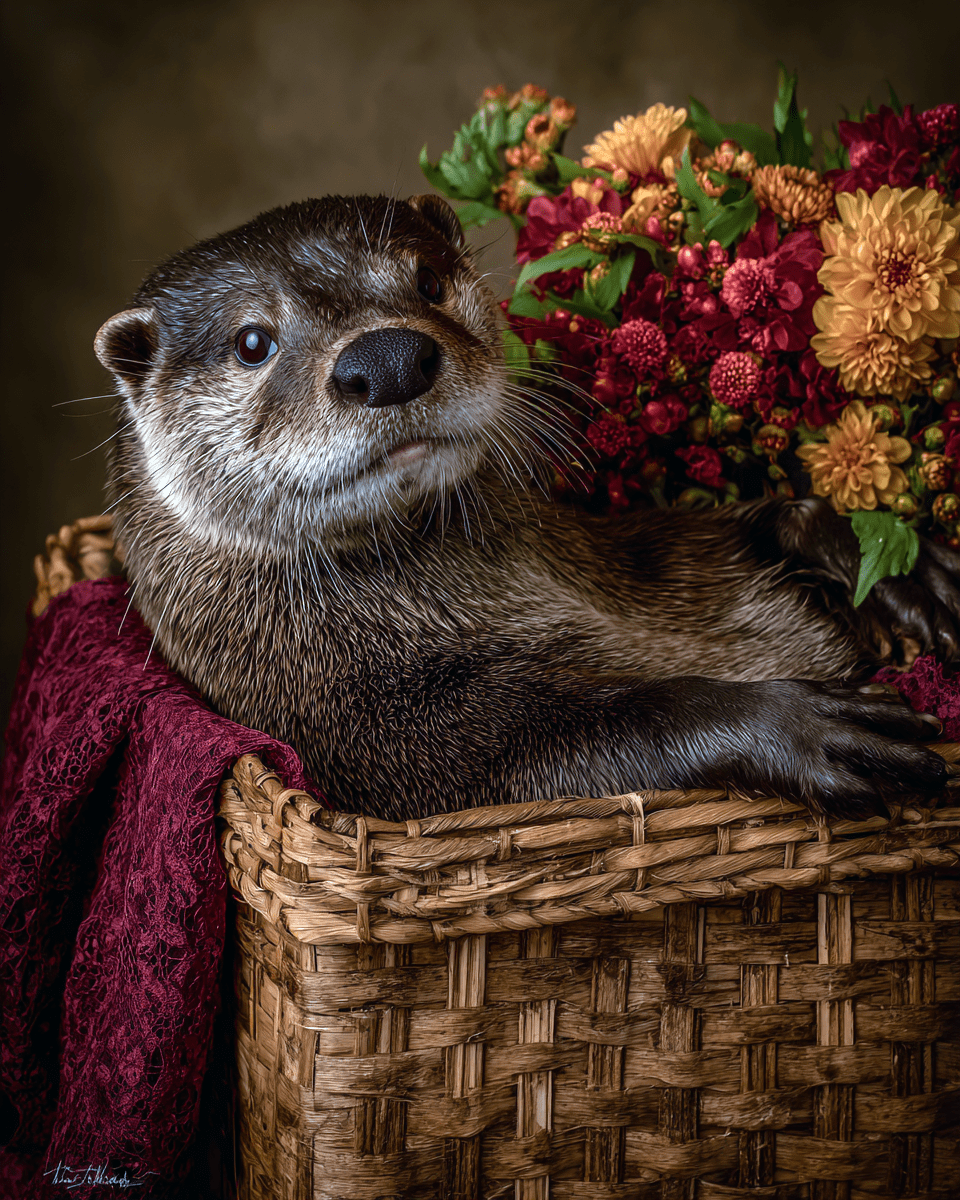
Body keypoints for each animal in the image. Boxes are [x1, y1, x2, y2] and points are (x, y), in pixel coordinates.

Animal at [95, 193, 960, 821]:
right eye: (252, 343)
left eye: (428, 280)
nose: (388, 357)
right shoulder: (377, 743)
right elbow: (603, 727)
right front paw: (796, 726)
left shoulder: (645, 550)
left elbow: (760, 525)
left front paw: (906, 578)